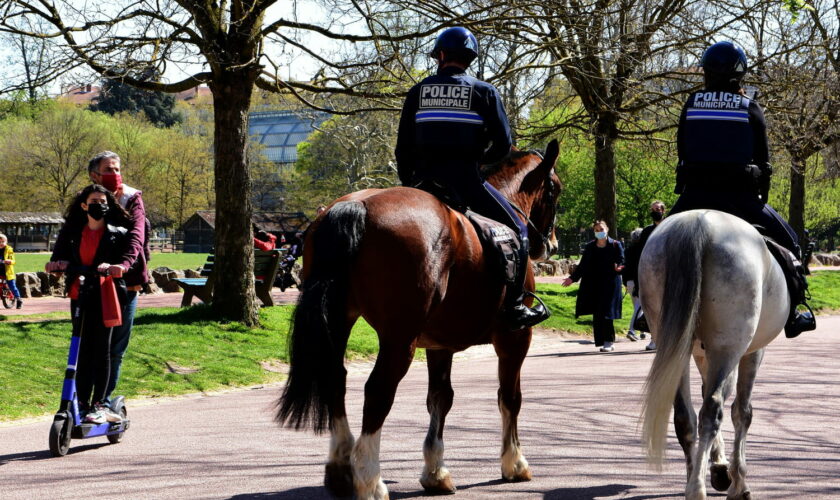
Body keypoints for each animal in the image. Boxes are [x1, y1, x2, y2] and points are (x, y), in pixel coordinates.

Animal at [278, 139, 560, 498]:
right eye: (554, 189)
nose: (550, 244)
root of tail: (356, 206)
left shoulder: (440, 345)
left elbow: (440, 398)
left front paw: (436, 471)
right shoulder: (514, 339)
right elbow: (510, 398)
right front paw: (514, 463)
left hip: (341, 321)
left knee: (335, 379)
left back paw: (341, 469)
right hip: (400, 339)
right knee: (377, 391)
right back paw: (369, 479)